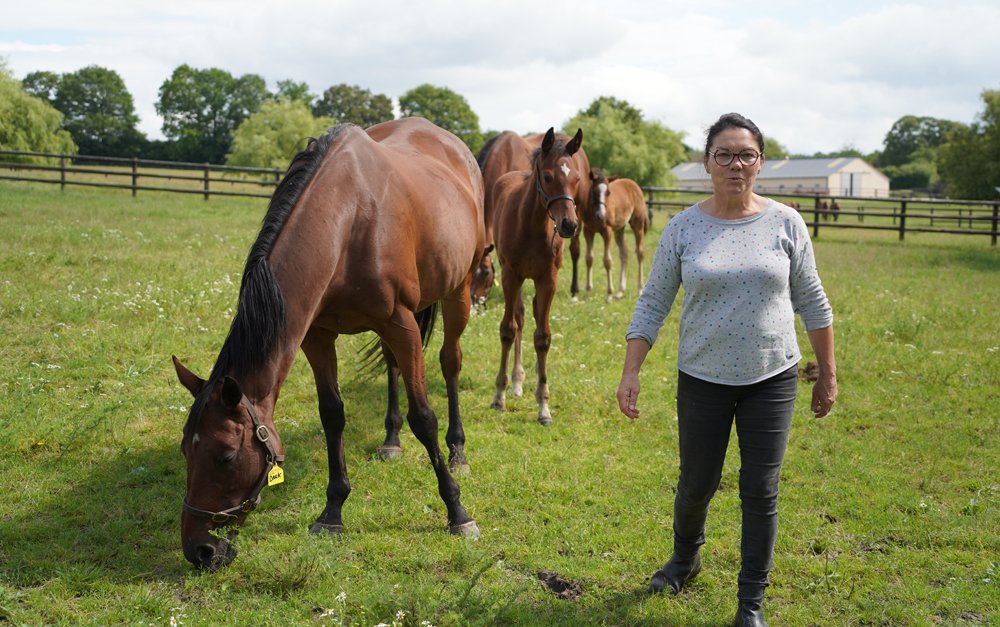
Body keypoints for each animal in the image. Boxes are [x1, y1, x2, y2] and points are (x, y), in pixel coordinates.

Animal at [172, 117, 485, 569]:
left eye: (226, 456)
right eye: (184, 449)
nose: (200, 550)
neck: (349, 221)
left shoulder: (403, 325)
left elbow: (424, 418)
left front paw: (457, 512)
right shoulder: (318, 337)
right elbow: (332, 415)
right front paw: (333, 511)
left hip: (458, 291)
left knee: (450, 361)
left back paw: (458, 452)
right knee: (392, 365)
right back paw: (391, 442)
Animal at [472, 130, 591, 307]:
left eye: (486, 272)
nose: (475, 303)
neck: (504, 156)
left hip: (579, 215)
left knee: (575, 251)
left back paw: (574, 291)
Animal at [489, 127, 583, 425]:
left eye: (576, 179)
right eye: (548, 176)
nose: (569, 225)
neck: (530, 223)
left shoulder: (547, 280)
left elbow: (542, 337)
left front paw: (544, 406)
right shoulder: (510, 275)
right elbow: (508, 330)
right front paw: (499, 396)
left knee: (527, 315)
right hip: (516, 278)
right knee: (518, 318)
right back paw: (516, 382)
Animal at [579, 169, 648, 302]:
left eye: (608, 192)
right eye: (594, 191)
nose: (601, 215)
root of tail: (634, 184)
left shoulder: (607, 231)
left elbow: (607, 261)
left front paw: (609, 294)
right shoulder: (588, 231)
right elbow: (589, 259)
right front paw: (587, 291)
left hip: (638, 224)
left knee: (640, 253)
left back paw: (640, 289)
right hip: (620, 229)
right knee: (624, 252)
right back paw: (620, 291)